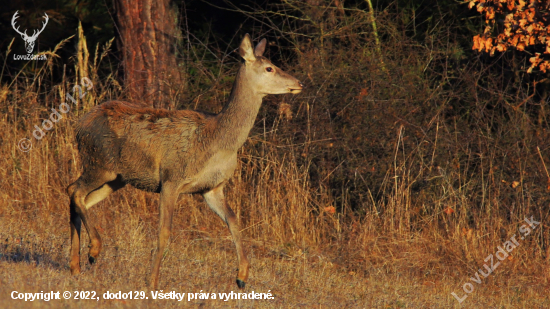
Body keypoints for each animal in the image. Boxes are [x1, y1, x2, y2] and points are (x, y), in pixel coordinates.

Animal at [67, 34, 304, 288]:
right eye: (269, 68)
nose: (299, 83)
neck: (218, 143)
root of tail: (79, 125)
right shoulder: (172, 178)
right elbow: (164, 231)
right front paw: (152, 281)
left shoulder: (212, 188)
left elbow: (233, 222)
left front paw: (242, 276)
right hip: (100, 162)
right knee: (75, 191)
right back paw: (93, 250)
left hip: (117, 178)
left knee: (80, 198)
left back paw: (75, 266)